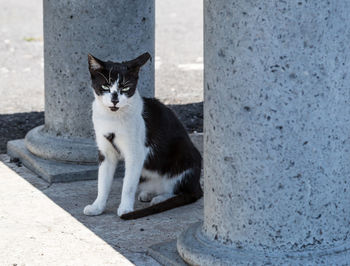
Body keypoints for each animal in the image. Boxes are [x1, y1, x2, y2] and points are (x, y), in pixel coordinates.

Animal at [83, 53, 202, 219]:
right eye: (105, 86)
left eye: (126, 87)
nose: (115, 100)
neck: (112, 118)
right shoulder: (106, 153)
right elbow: (102, 183)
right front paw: (97, 207)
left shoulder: (136, 153)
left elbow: (128, 185)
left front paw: (125, 208)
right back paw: (150, 194)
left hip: (185, 156)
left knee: (182, 191)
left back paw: (160, 199)